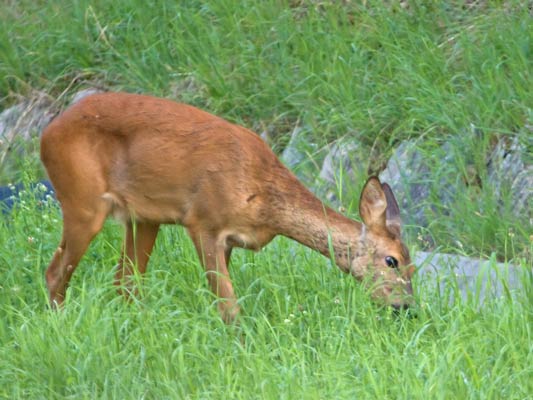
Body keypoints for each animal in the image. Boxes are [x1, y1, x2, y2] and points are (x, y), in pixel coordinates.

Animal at [41, 92, 416, 324]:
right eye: (392, 260)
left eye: (414, 267)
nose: (406, 307)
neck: (263, 198)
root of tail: (47, 133)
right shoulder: (203, 221)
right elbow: (228, 305)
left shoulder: (230, 241)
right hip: (82, 201)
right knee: (55, 271)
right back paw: (61, 322)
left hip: (144, 218)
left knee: (125, 280)